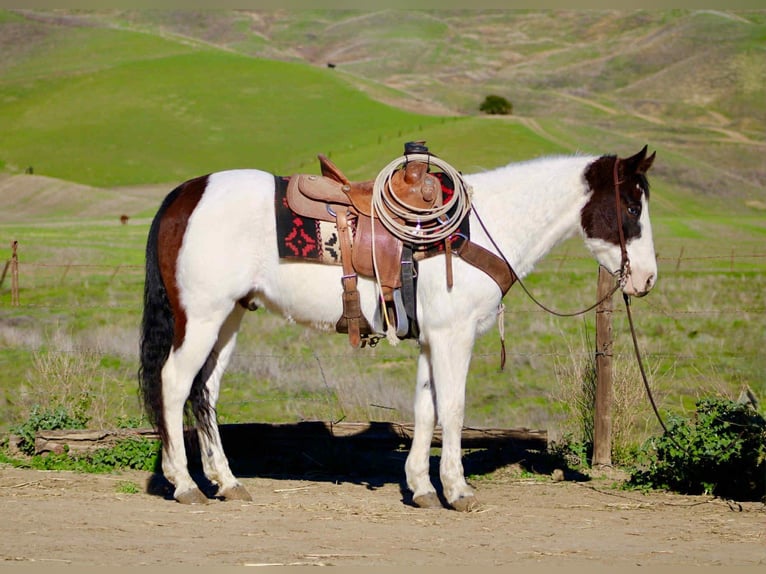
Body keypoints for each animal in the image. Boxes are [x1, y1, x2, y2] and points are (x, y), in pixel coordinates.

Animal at [139, 145, 657, 510]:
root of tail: (186, 194)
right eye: (633, 209)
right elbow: (453, 408)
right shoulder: (453, 336)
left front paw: (422, 488)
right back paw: (184, 484)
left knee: (204, 391)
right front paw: (457, 490)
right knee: (174, 383)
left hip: (229, 317)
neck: (479, 228)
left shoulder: (432, 339)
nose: (647, 279)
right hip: (201, 316)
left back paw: (227, 482)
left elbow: (426, 410)